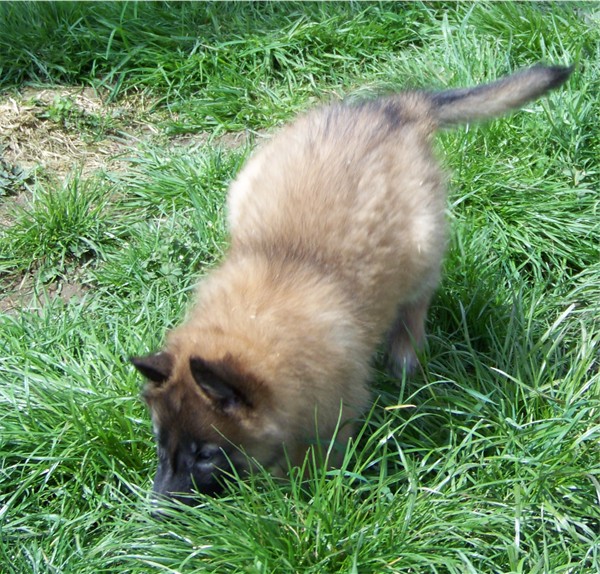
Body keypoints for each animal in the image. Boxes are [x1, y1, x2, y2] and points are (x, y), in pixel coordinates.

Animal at [131, 64, 572, 504]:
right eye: (159, 442)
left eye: (206, 455)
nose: (156, 509)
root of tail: (394, 109)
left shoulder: (332, 414)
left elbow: (311, 462)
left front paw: (298, 497)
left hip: (423, 244)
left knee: (415, 305)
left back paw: (405, 358)